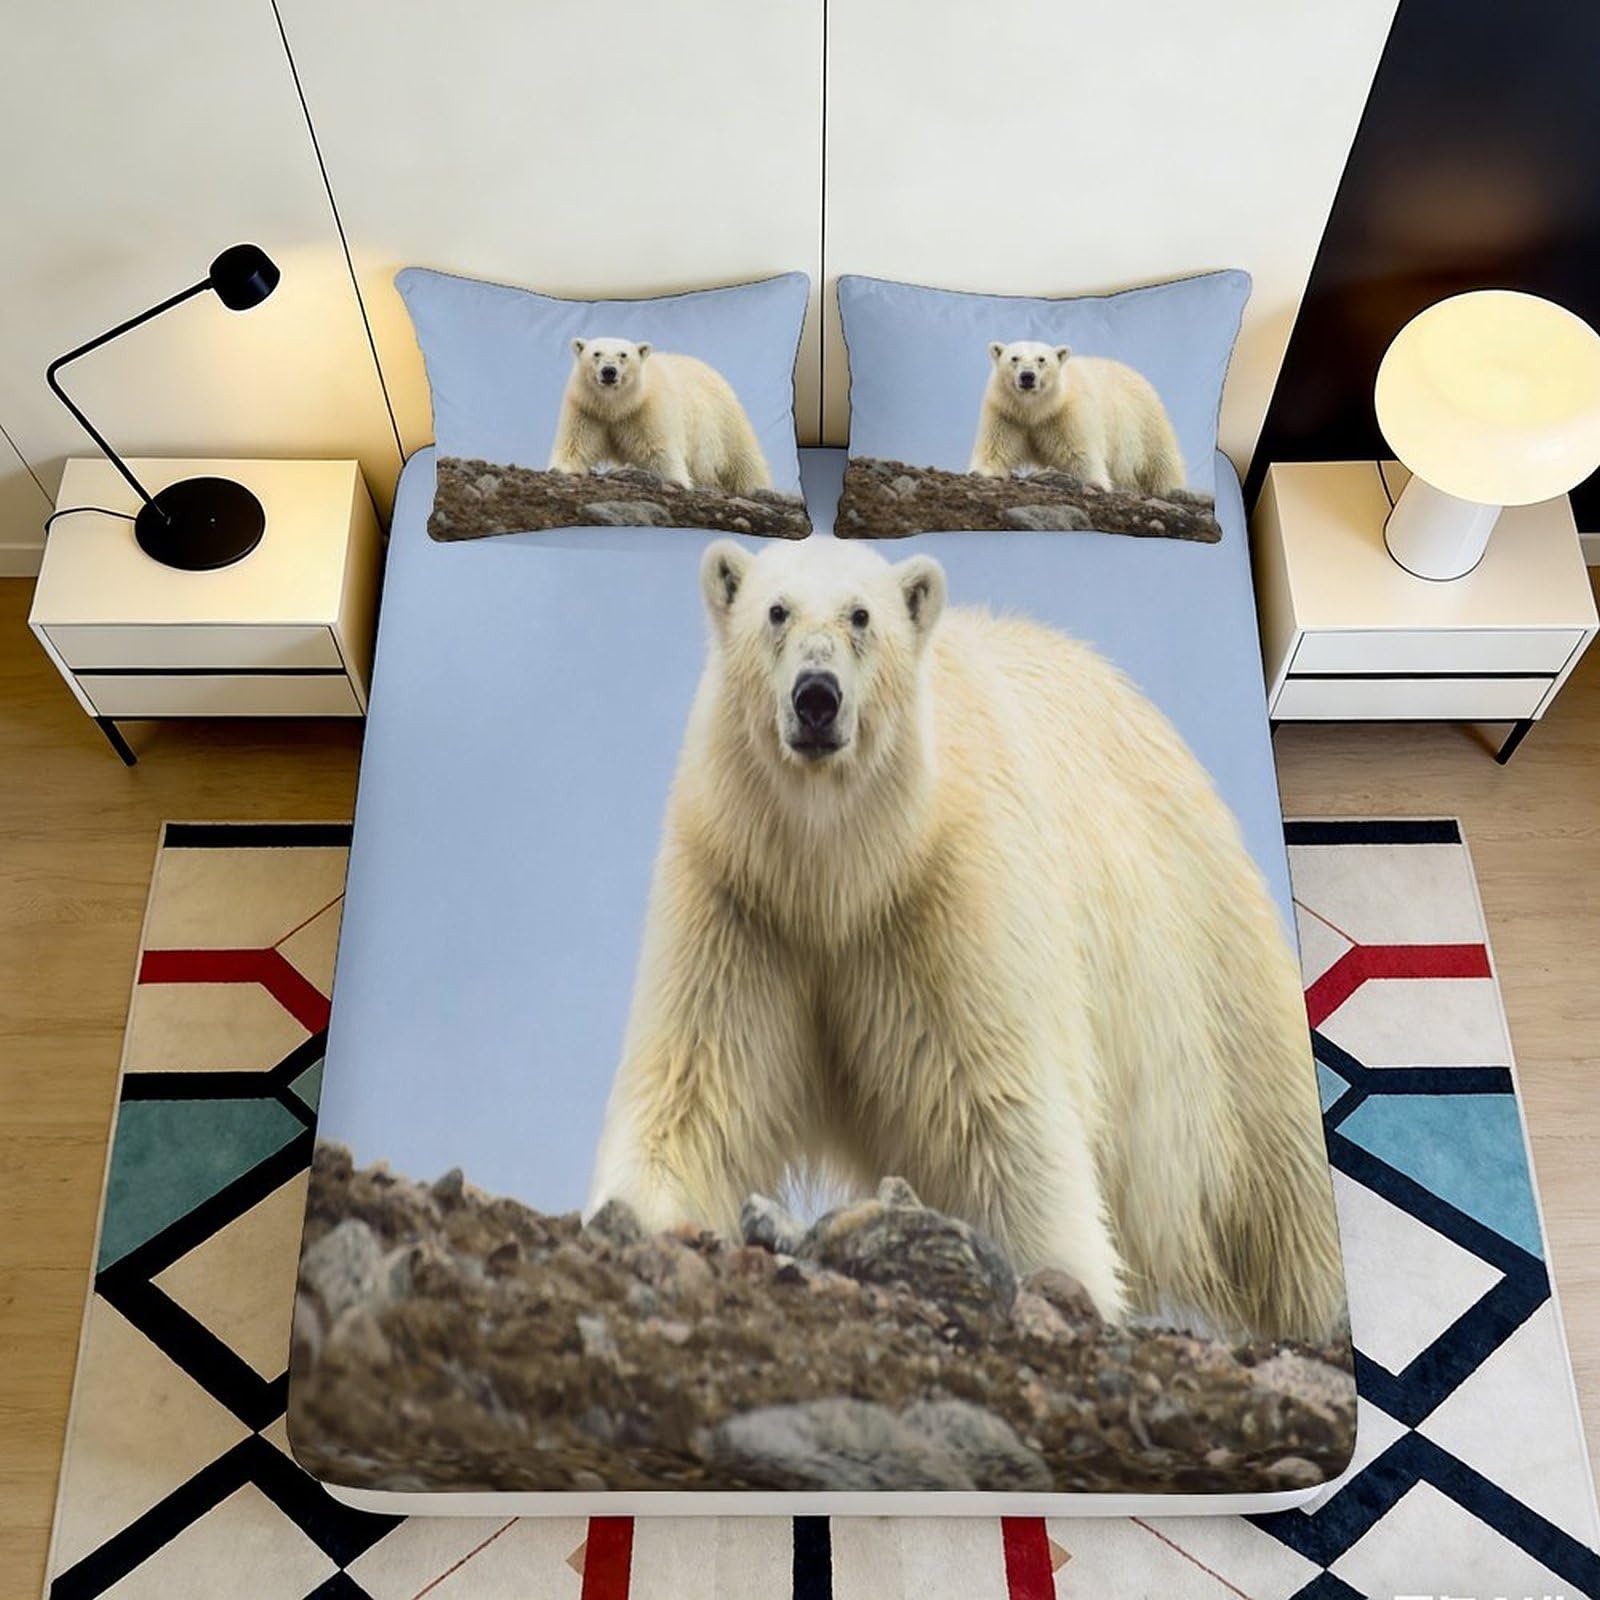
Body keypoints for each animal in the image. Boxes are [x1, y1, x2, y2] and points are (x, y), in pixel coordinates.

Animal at [548, 337, 772, 494]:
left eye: (623, 355)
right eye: (596, 353)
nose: (609, 371)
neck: (616, 407)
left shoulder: (647, 411)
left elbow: (658, 451)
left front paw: (676, 481)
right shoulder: (587, 410)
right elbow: (575, 446)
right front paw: (561, 469)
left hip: (724, 421)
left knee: (744, 460)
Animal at [586, 537, 1346, 1344]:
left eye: (862, 615)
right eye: (776, 610)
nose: (817, 696)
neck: (840, 877)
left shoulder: (949, 897)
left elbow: (1003, 1115)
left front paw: (1061, 1279)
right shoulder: (740, 900)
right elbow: (693, 1089)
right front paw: (636, 1216)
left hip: (1204, 965)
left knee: (1278, 1155)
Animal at [970, 340, 1186, 496]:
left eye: (1042, 359)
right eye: (1014, 358)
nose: (1027, 376)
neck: (1035, 411)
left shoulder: (1066, 415)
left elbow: (1079, 454)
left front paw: (1095, 483)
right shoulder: (1007, 414)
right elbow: (995, 450)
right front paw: (983, 472)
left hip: (1145, 423)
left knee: (1161, 463)